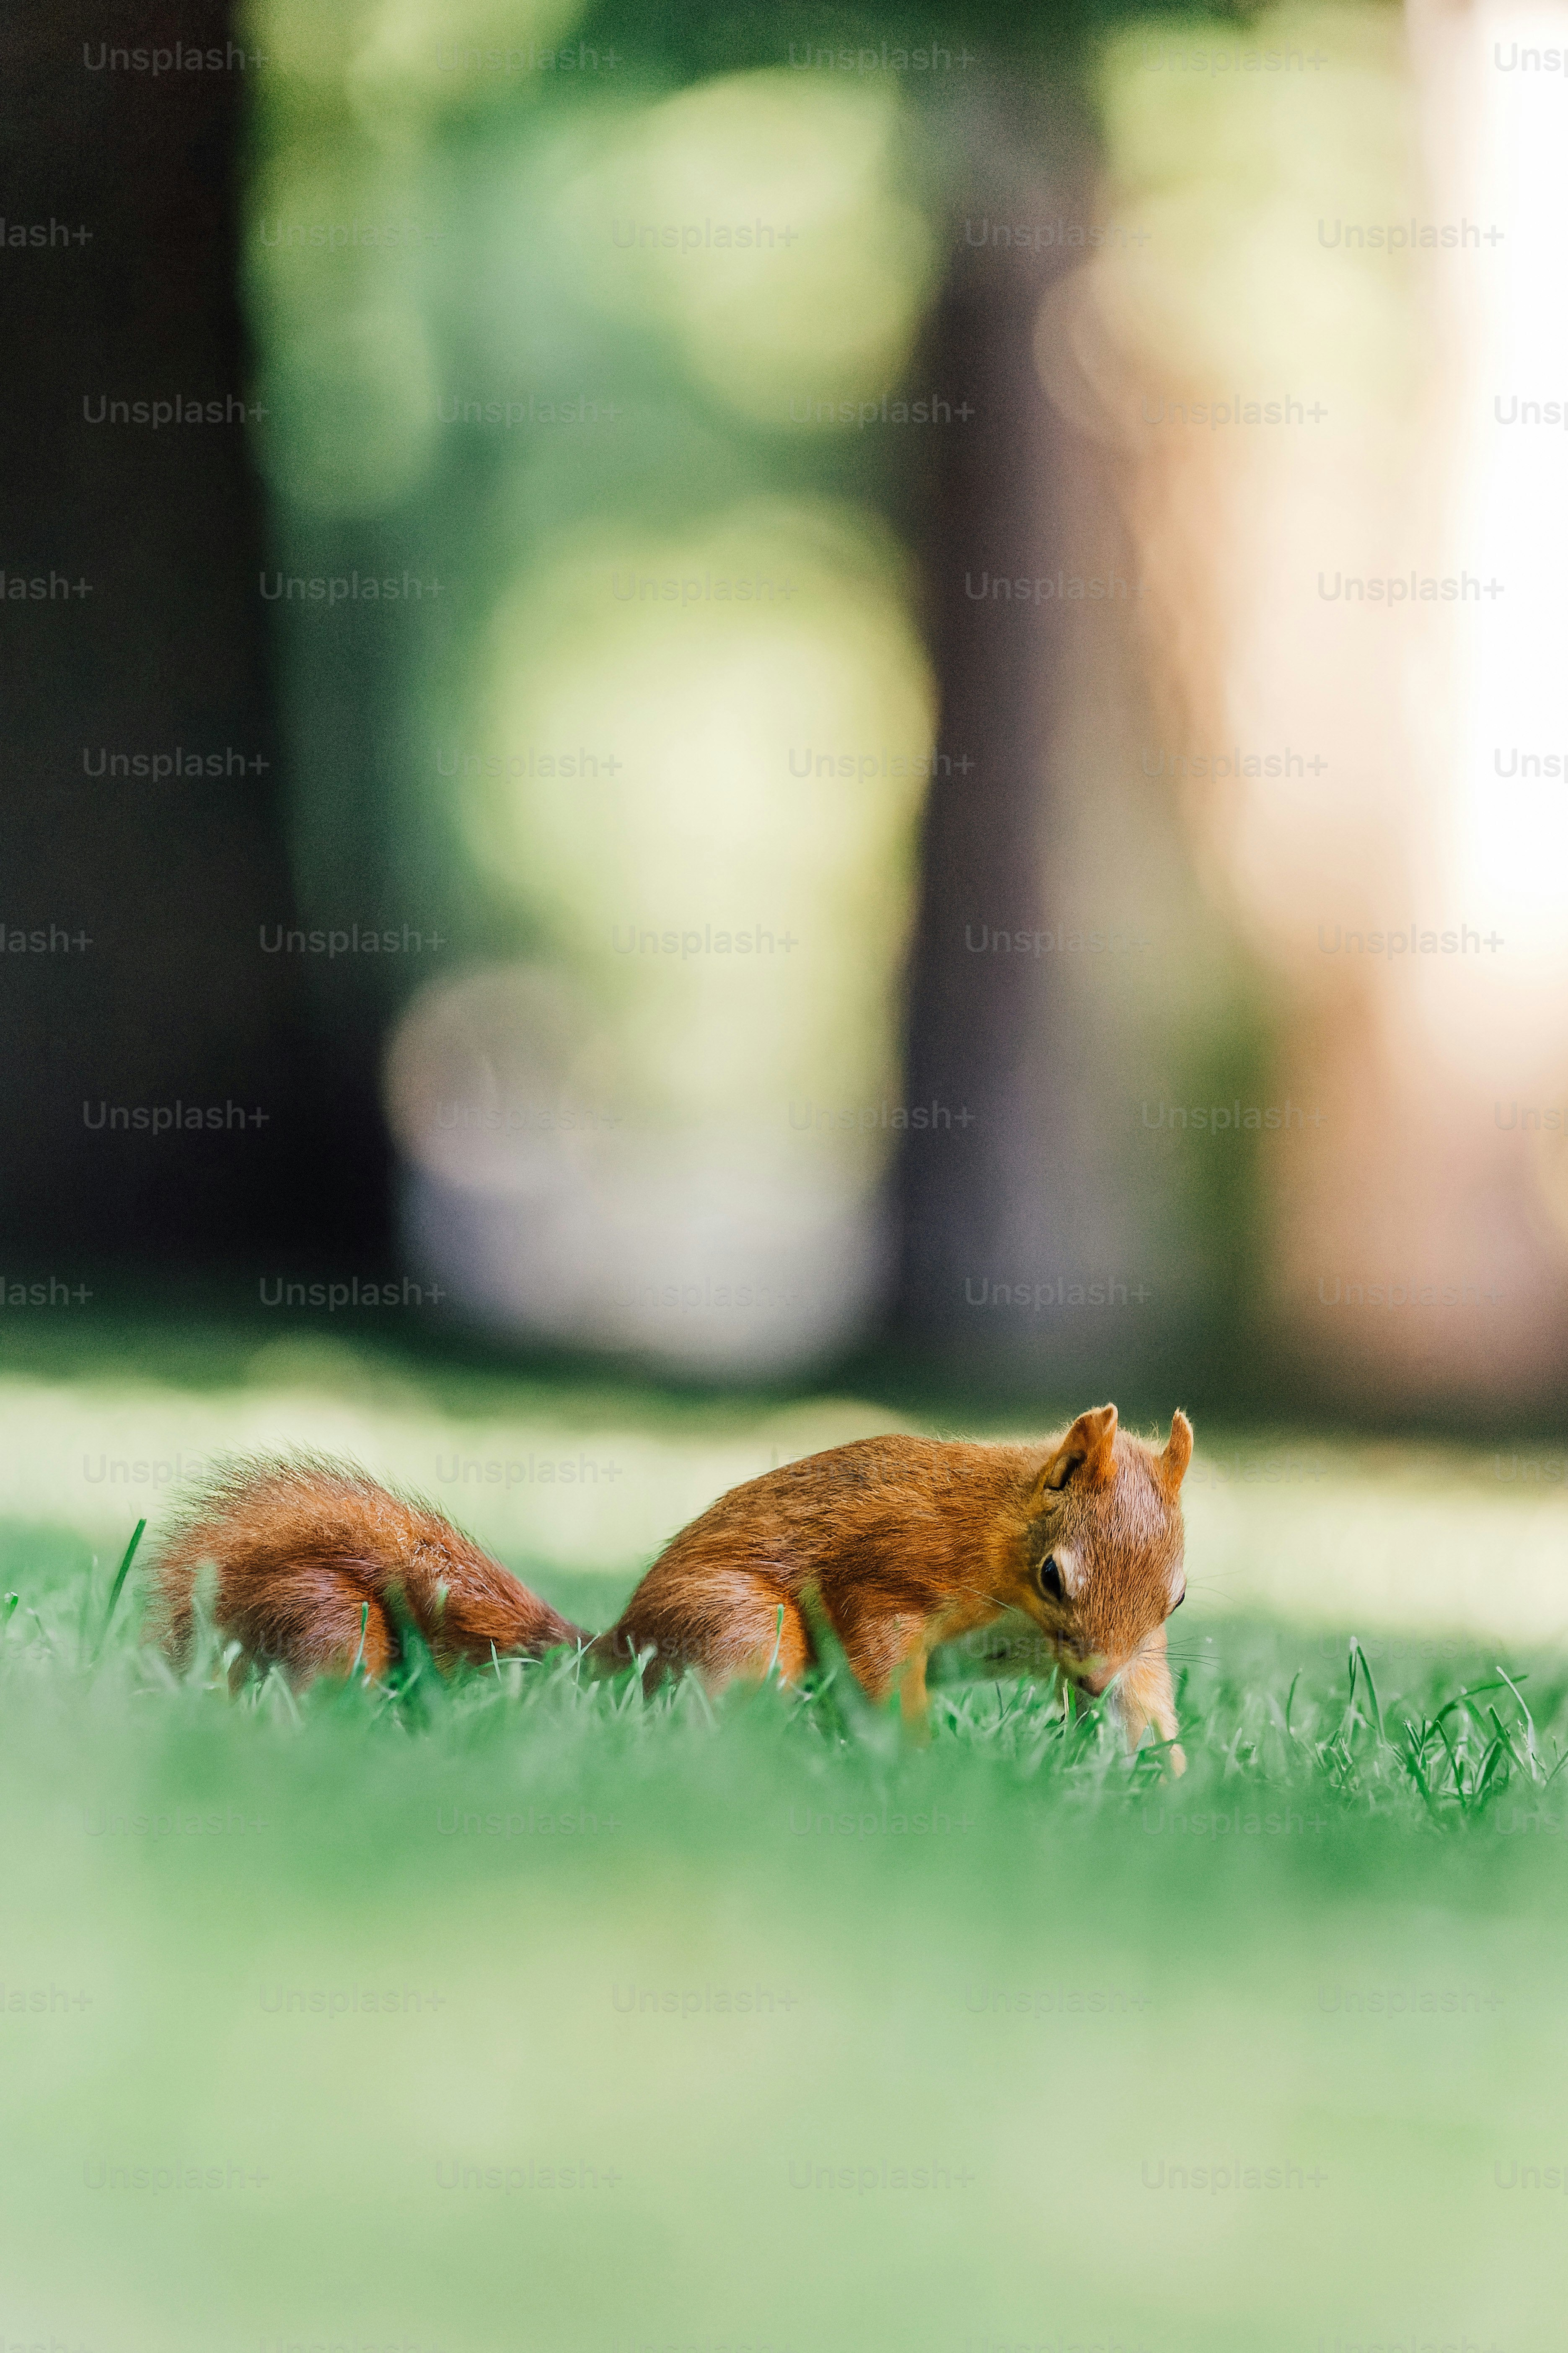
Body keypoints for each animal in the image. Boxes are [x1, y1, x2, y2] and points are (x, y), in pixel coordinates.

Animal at [147, 1404, 1192, 1769]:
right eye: (1054, 1573)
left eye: (1177, 1596)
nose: (1089, 1678)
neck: (998, 1532)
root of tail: (614, 1651)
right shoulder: (893, 1575)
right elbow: (880, 1657)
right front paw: (922, 1762)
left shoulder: (1132, 1654)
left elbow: (1146, 1695)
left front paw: (1165, 1781)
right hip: (745, 1626)